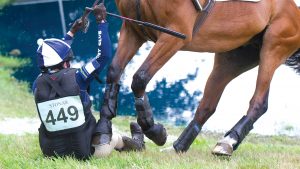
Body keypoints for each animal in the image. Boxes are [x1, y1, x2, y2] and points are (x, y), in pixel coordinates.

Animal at [98, 0, 300, 156]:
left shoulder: (175, 35)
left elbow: (140, 78)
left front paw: (155, 131)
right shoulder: (132, 29)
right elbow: (114, 72)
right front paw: (103, 132)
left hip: (273, 48)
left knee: (259, 103)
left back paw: (227, 142)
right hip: (232, 57)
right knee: (207, 106)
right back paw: (179, 147)